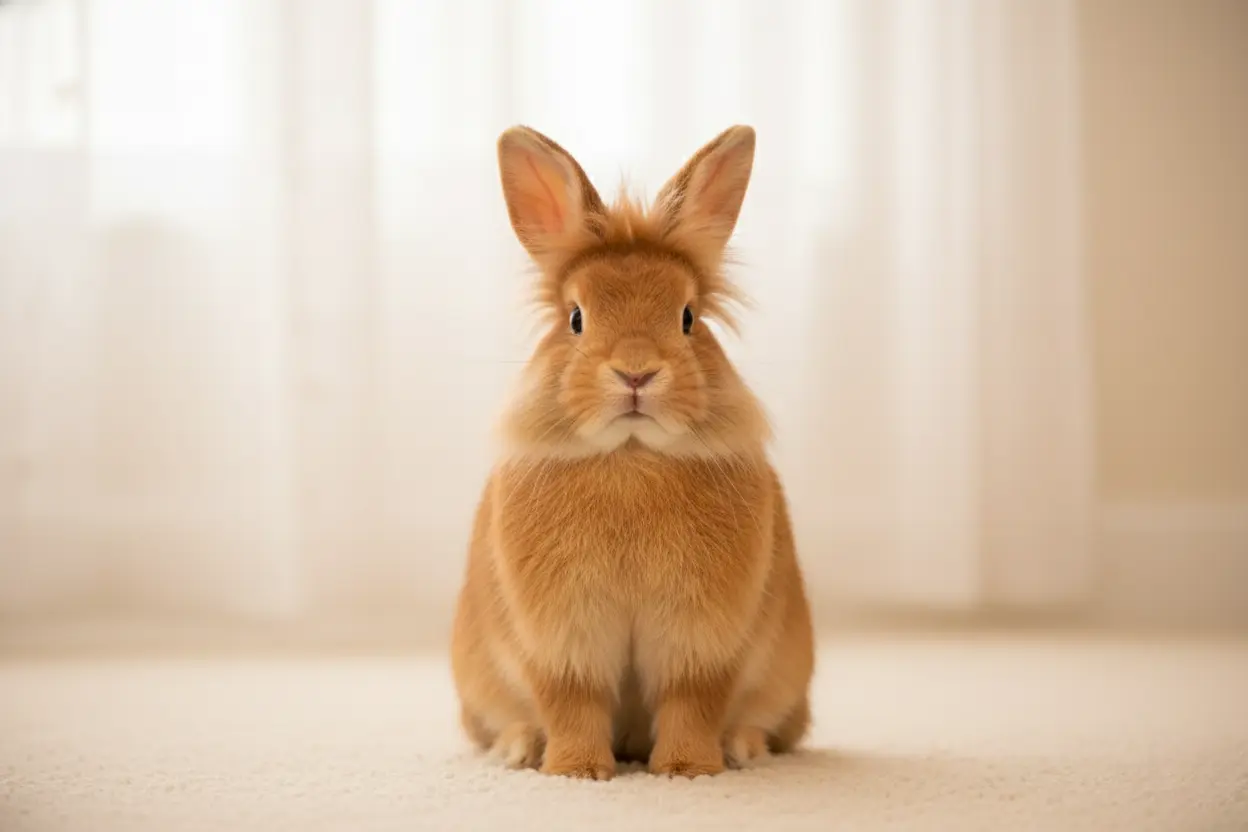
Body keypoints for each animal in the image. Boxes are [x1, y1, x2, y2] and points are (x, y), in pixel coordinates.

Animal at [450, 124, 815, 780]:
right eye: (576, 318)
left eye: (688, 317)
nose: (637, 372)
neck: (631, 456)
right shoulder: (564, 643)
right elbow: (573, 702)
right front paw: (578, 773)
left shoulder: (700, 642)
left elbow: (691, 702)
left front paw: (687, 771)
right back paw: (519, 748)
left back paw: (743, 748)